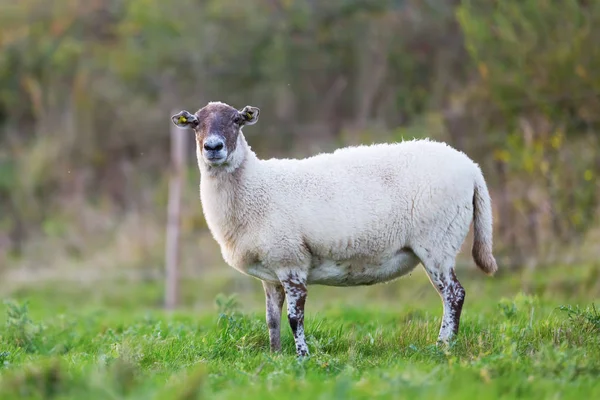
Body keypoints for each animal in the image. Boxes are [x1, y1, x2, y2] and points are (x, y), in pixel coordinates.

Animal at [172, 101, 496, 358]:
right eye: (196, 123)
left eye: (236, 120)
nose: (213, 147)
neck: (256, 187)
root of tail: (472, 168)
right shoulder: (271, 274)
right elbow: (271, 319)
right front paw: (275, 356)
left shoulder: (291, 261)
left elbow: (295, 318)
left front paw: (303, 357)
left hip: (438, 241)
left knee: (454, 295)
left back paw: (444, 346)